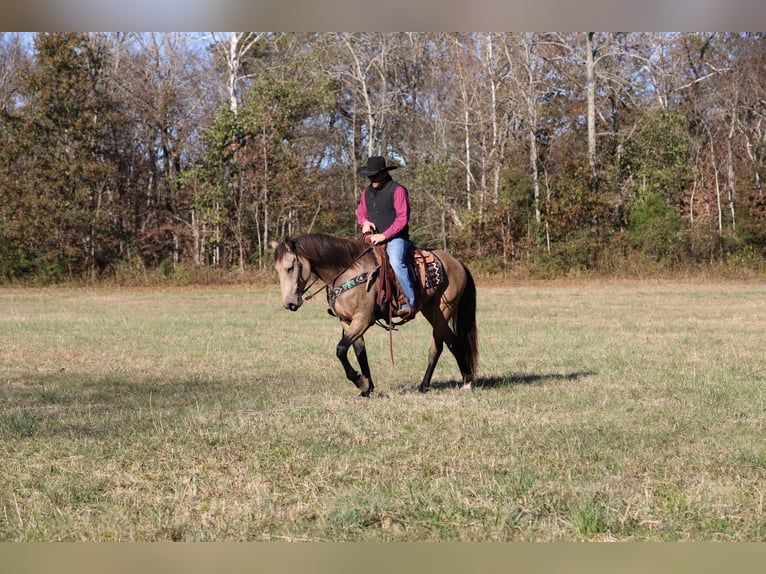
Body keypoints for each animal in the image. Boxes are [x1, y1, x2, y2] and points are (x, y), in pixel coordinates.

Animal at [268, 233, 474, 396]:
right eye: (277, 269)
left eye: (290, 267)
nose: (289, 303)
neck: (347, 271)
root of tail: (457, 263)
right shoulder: (347, 321)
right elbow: (360, 352)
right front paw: (368, 388)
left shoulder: (363, 319)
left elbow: (340, 349)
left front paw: (359, 381)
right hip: (430, 310)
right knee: (452, 341)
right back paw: (461, 380)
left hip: (443, 310)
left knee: (438, 346)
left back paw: (437, 385)